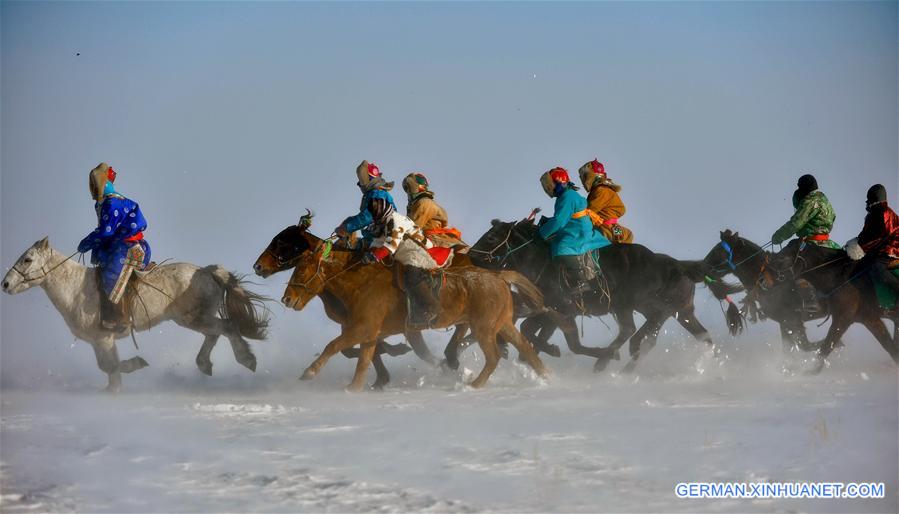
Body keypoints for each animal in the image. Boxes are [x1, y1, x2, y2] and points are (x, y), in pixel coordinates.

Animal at [3, 238, 270, 390]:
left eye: (27, 259)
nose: (5, 284)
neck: (77, 289)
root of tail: (205, 271)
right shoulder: (99, 341)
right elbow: (107, 366)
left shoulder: (103, 339)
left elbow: (109, 366)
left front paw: (119, 383)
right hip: (194, 318)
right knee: (215, 332)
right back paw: (205, 364)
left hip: (193, 318)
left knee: (227, 327)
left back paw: (247, 359)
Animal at [460, 218, 740, 370]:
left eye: (492, 237)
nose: (471, 255)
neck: (541, 261)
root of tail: (681, 267)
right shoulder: (551, 312)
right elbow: (533, 331)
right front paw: (535, 354)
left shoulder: (562, 310)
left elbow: (561, 339)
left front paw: (550, 351)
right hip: (679, 312)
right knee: (699, 336)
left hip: (642, 306)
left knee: (636, 332)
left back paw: (609, 359)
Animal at [768, 238, 899, 370]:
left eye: (781, 258)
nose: (765, 281)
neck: (841, 278)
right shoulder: (869, 319)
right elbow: (891, 348)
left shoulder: (844, 318)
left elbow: (824, 349)